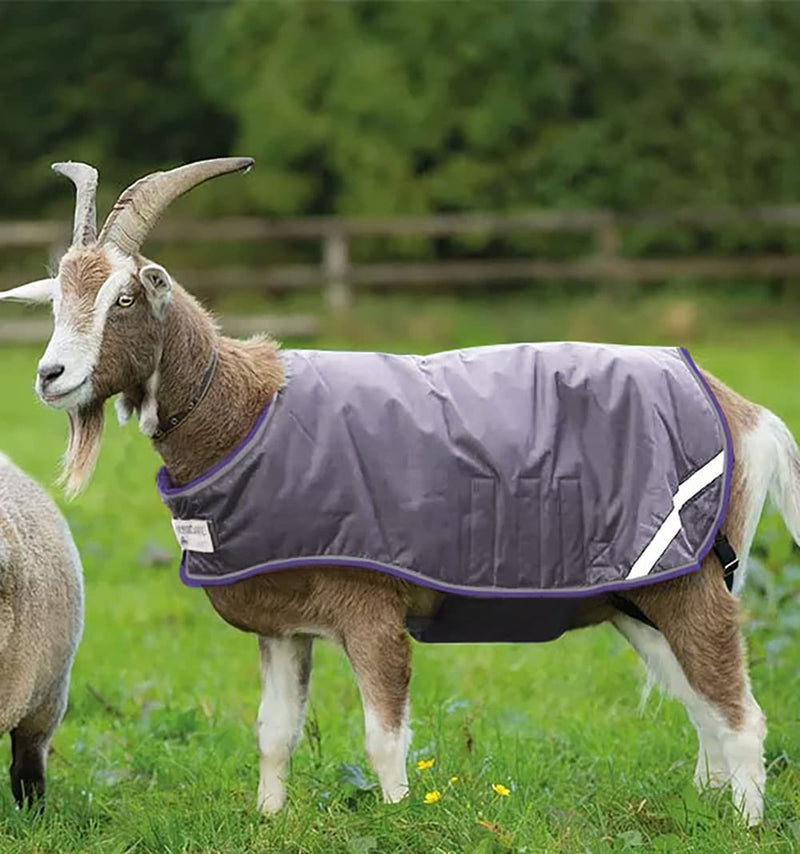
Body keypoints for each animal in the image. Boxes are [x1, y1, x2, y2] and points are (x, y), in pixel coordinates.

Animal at [3, 158, 799, 826]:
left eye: (125, 296)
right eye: (59, 300)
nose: (50, 376)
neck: (247, 413)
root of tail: (744, 412)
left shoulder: (371, 605)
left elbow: (383, 737)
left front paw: (396, 818)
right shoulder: (284, 622)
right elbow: (274, 732)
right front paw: (270, 818)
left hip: (688, 579)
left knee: (739, 710)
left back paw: (745, 824)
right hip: (637, 595)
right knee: (700, 703)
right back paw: (709, 802)